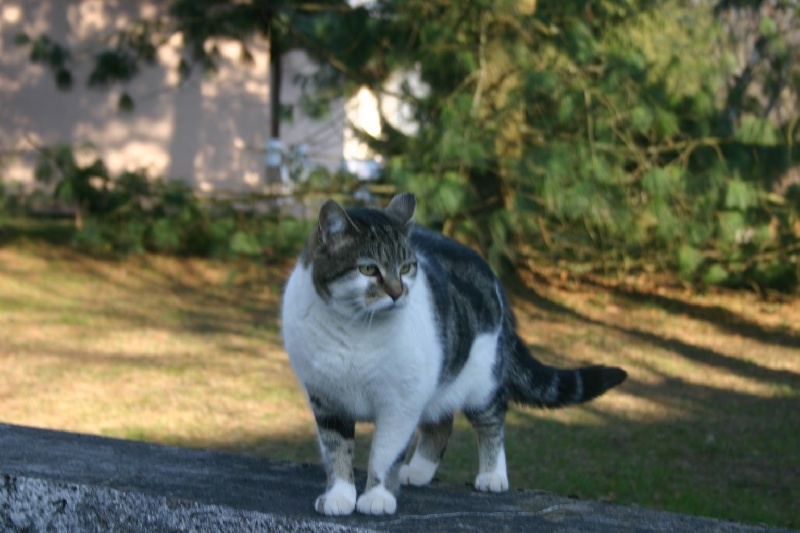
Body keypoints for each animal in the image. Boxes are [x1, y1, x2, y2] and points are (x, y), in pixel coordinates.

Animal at [284, 193, 628, 512]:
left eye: (406, 268)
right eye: (368, 269)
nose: (397, 293)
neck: (355, 329)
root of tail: (492, 274)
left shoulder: (400, 403)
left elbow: (385, 453)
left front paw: (378, 497)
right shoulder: (327, 401)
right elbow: (336, 452)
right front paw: (339, 496)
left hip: (482, 382)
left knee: (491, 422)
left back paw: (492, 475)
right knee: (441, 423)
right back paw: (419, 471)